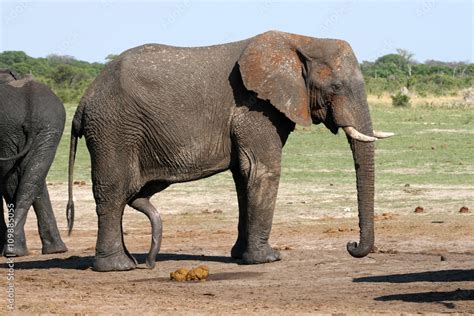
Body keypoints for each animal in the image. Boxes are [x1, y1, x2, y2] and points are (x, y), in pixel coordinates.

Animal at [0, 69, 67, 256]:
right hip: (50, 126)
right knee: (32, 180)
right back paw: (56, 250)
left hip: (8, 128)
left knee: (11, 181)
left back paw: (14, 251)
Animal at [66, 30, 392, 272]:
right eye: (336, 87)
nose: (351, 246)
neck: (301, 40)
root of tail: (83, 103)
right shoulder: (254, 106)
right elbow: (263, 170)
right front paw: (268, 259)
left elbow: (243, 176)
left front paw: (239, 256)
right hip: (114, 129)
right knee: (114, 191)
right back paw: (118, 266)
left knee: (123, 195)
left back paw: (132, 262)